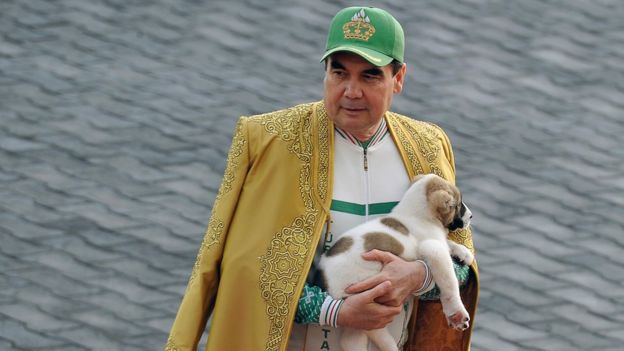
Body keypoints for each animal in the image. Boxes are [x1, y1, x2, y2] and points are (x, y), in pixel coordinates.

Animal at [322, 173, 472, 351]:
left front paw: (463, 252)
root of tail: (327, 283)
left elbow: (448, 243)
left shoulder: (437, 242)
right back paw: (391, 345)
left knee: (351, 338)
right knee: (374, 330)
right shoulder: (434, 249)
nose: (471, 216)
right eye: (458, 204)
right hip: (369, 296)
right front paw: (456, 313)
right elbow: (449, 283)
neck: (415, 214)